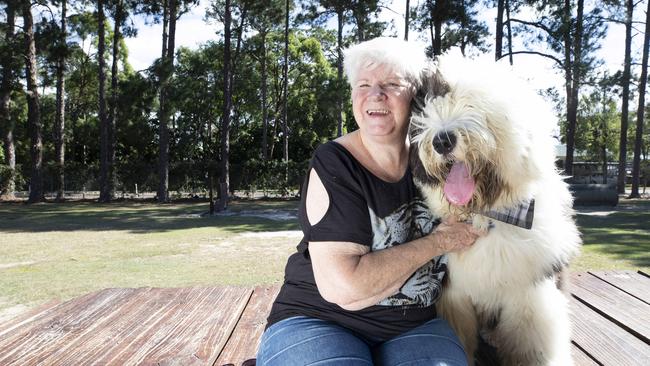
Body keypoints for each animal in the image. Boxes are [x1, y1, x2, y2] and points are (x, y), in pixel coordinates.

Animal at [408, 55, 580, 364]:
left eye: (472, 104)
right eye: (426, 108)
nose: (442, 140)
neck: (484, 216)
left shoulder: (531, 295)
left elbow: (532, 347)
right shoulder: (454, 296)